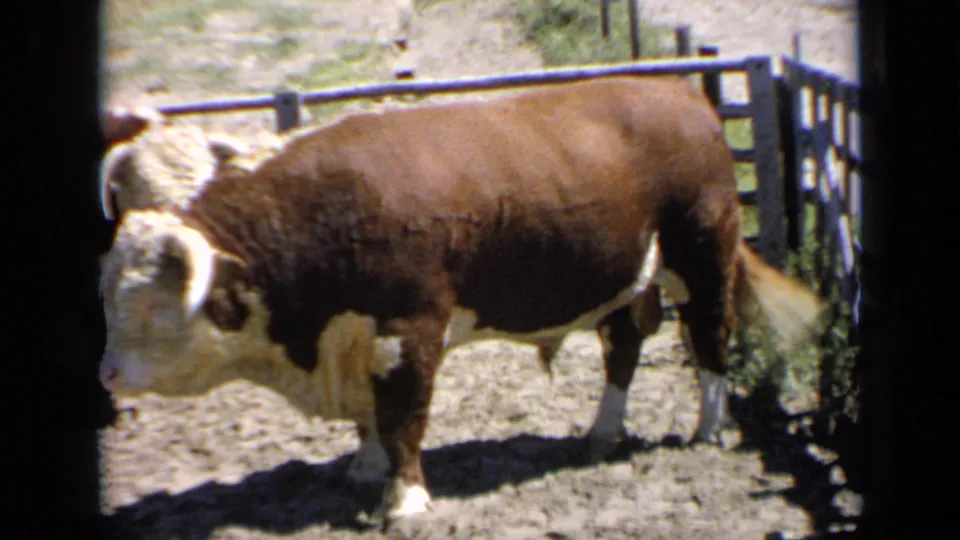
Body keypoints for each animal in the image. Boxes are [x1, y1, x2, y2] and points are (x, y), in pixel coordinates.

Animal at [97, 75, 826, 527]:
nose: (107, 373)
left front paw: (406, 503)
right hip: (627, 275)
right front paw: (363, 468)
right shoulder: (356, 338)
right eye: (110, 297)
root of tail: (681, 94)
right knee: (623, 347)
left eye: (155, 307)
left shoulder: (408, 331)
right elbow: (370, 420)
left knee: (711, 337)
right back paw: (602, 432)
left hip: (702, 254)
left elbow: (403, 419)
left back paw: (707, 428)